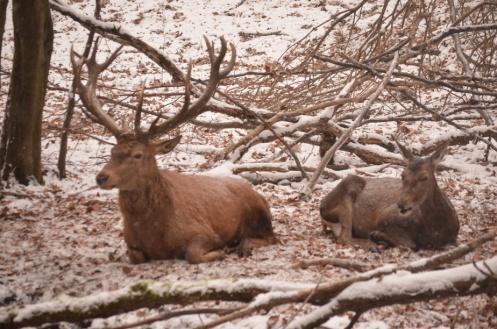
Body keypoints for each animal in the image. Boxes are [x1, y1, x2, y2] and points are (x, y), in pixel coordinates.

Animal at [70, 37, 278, 264]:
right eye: (112, 151)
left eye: (138, 155)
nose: (101, 177)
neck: (153, 232)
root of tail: (255, 192)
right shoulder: (131, 243)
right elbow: (136, 256)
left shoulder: (204, 232)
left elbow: (193, 254)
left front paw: (221, 251)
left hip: (260, 216)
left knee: (270, 237)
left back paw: (241, 245)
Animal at [320, 141, 460, 249]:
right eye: (402, 175)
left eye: (424, 177)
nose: (401, 204)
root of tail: (322, 206)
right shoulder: (385, 217)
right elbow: (409, 244)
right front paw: (377, 235)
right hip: (349, 184)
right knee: (344, 237)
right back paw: (373, 245)